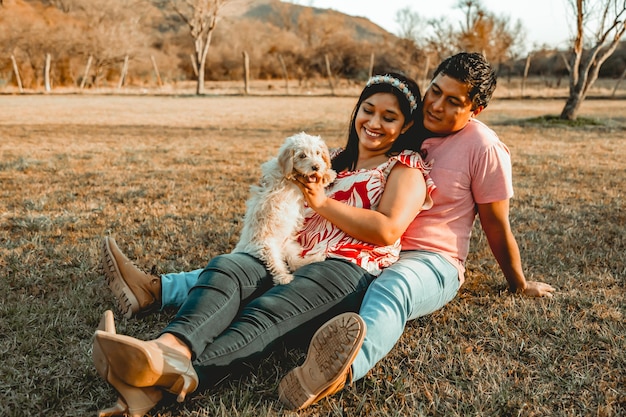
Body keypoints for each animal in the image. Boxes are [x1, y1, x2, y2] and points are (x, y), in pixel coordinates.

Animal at [230, 132, 336, 284]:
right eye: (302, 155)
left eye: (317, 153)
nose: (316, 167)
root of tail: (243, 246)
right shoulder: (290, 180)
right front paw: (328, 175)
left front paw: (326, 172)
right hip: (266, 248)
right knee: (276, 265)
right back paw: (284, 278)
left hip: (290, 247)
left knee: (294, 263)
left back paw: (315, 258)